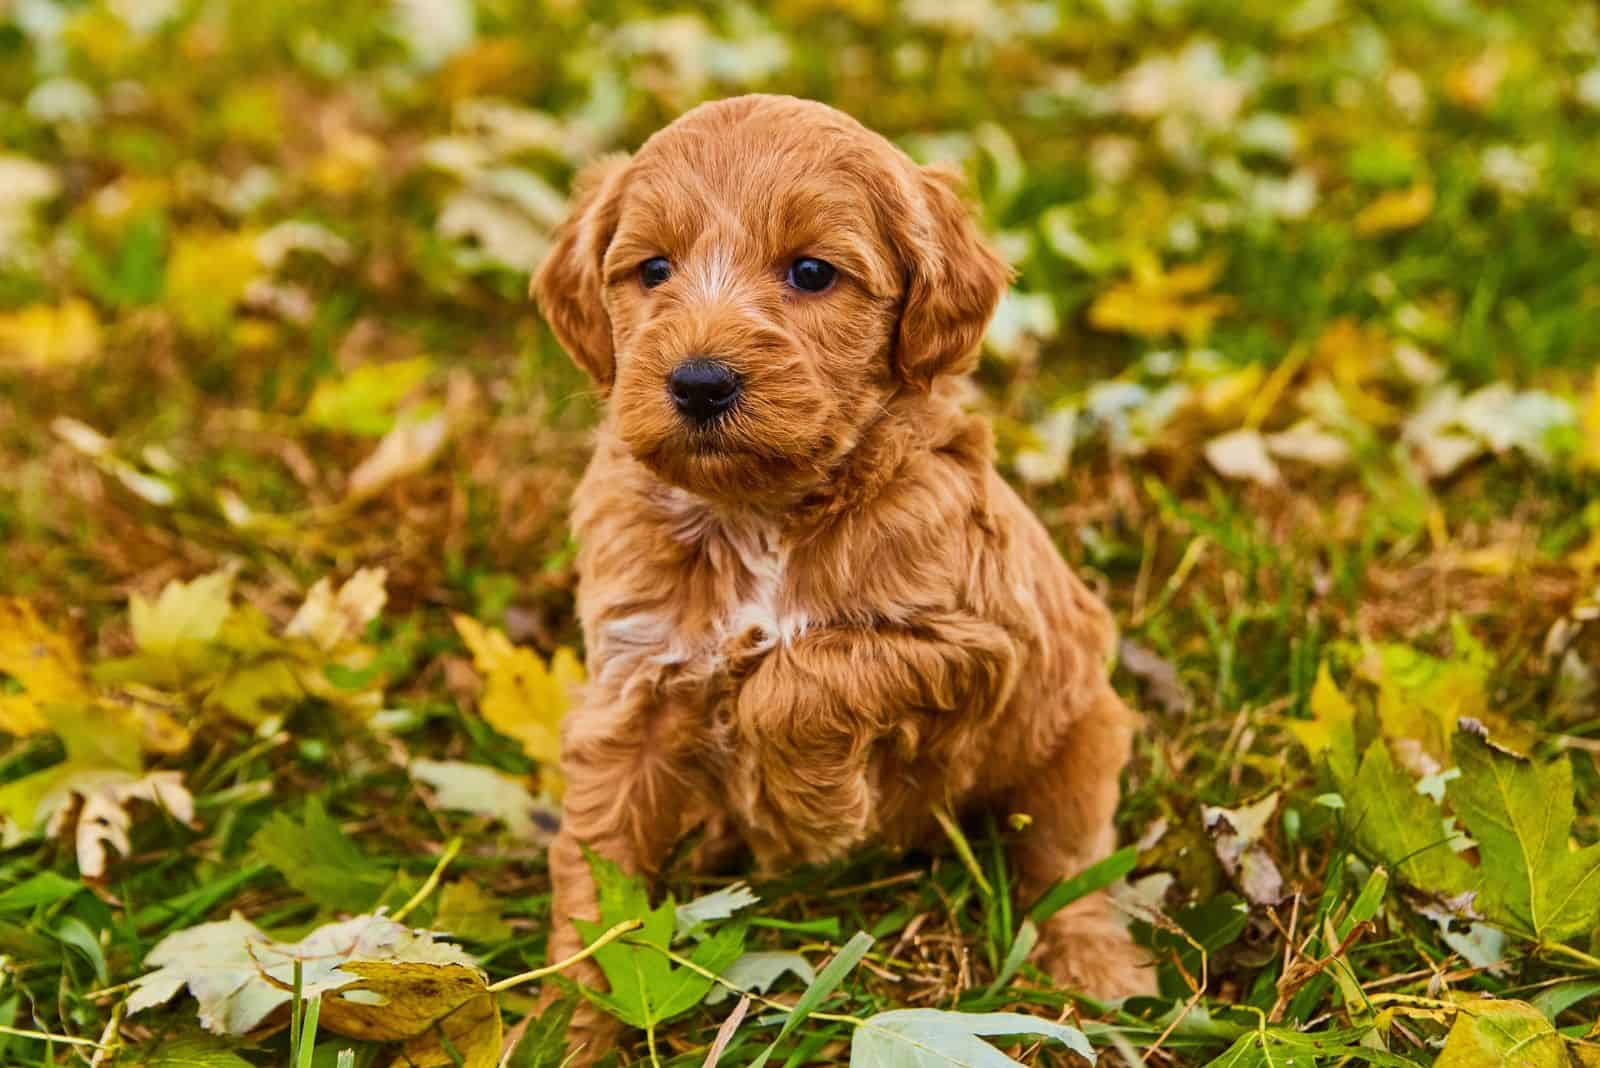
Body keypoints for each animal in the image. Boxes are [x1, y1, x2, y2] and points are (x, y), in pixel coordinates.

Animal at [537, 95, 1152, 1055]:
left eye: (812, 272)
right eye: (654, 269)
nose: (699, 382)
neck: (757, 515)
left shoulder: (979, 642)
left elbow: (799, 677)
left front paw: (812, 810)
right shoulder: (632, 685)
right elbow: (600, 870)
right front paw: (564, 1024)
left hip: (1078, 734)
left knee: (1070, 863)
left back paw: (1096, 970)